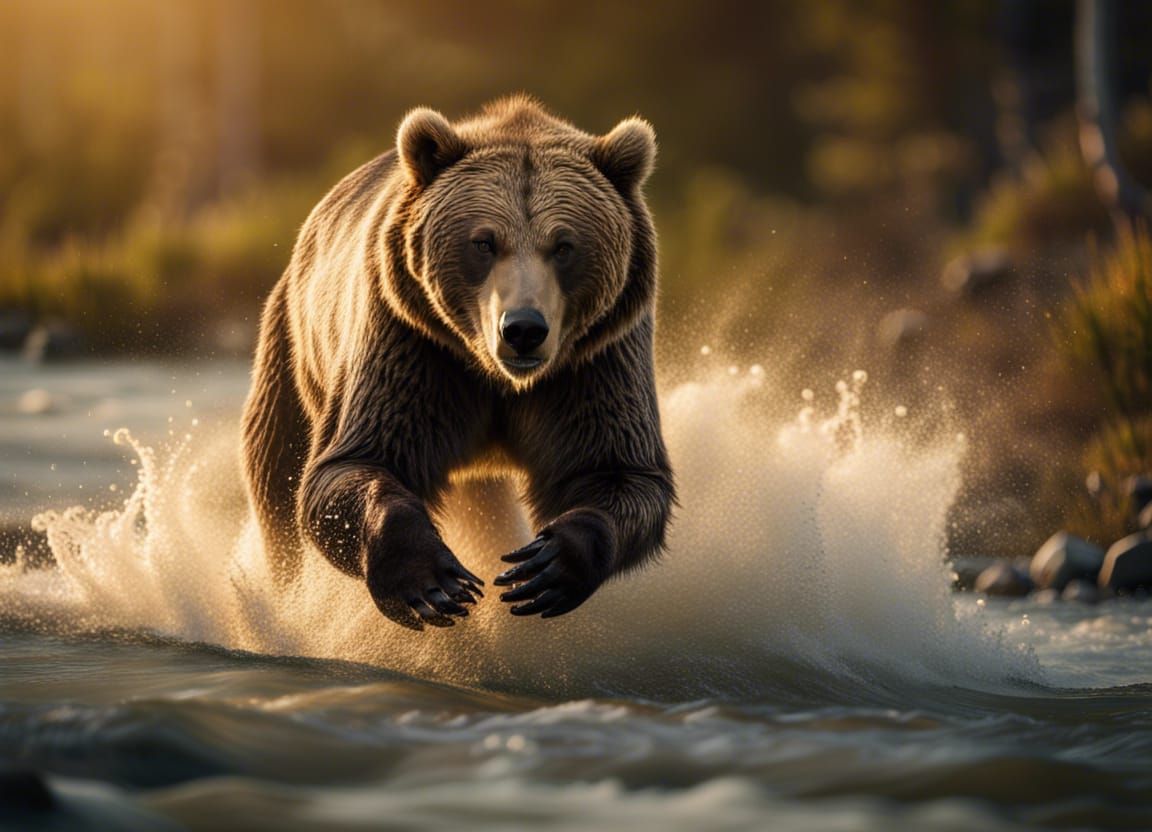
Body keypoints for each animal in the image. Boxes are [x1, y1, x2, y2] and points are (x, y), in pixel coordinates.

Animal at [240, 96, 675, 630]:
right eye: (484, 241)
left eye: (564, 245)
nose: (523, 328)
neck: (498, 378)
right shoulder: (412, 343)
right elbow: (351, 464)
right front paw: (433, 582)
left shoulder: (596, 360)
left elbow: (617, 468)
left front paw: (546, 565)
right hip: (292, 347)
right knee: (278, 475)